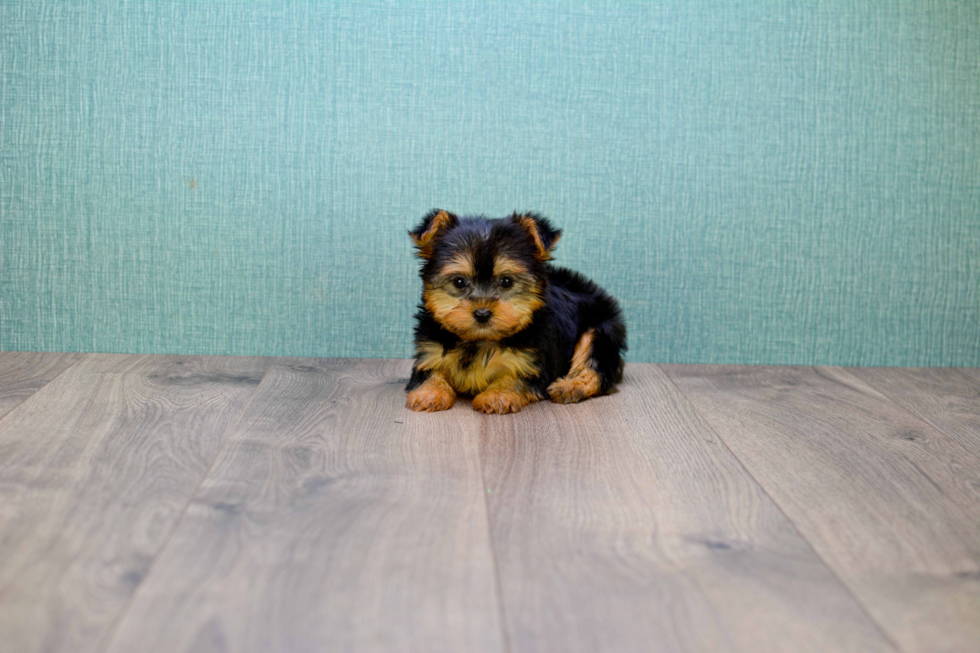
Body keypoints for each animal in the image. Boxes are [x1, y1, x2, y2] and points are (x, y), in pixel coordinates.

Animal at [406, 209, 628, 412]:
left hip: (600, 330)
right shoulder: (430, 351)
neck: (479, 341)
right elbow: (429, 372)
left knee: (595, 366)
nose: (482, 313)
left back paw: (570, 387)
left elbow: (514, 378)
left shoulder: (531, 362)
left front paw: (496, 396)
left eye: (506, 281)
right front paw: (429, 393)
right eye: (459, 282)